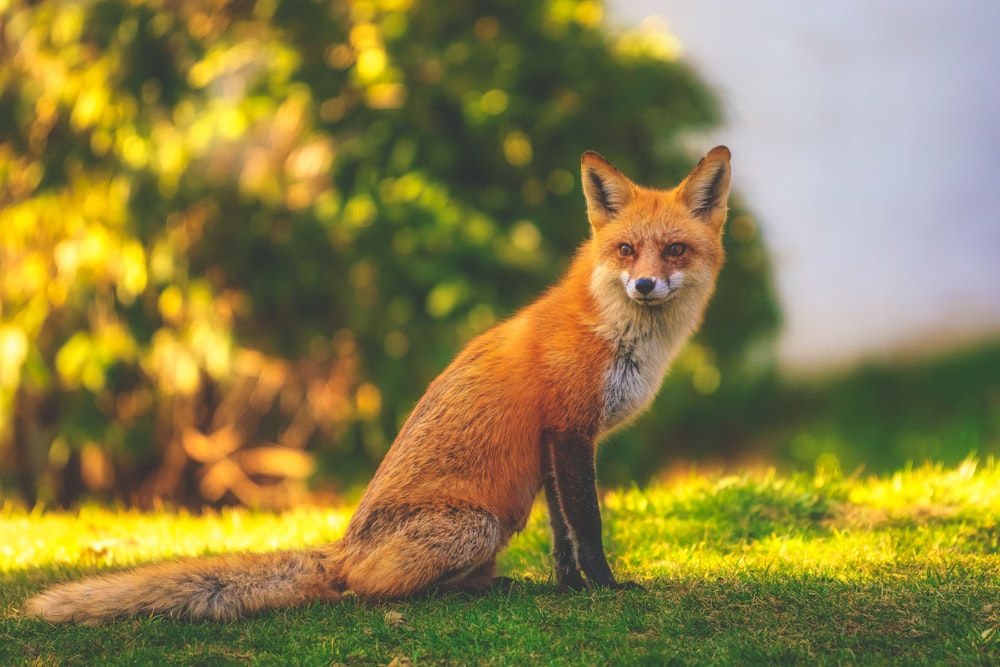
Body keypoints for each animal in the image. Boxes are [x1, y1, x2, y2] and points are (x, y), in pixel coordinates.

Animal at [25, 144, 736, 624]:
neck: (615, 334)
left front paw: (569, 588)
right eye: (625, 251)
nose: (645, 284)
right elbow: (587, 526)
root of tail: (341, 548)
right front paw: (606, 589)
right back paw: (462, 591)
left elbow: (563, 534)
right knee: (362, 592)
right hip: (478, 525)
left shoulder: (557, 443)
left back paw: (493, 585)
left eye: (674, 250)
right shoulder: (569, 430)